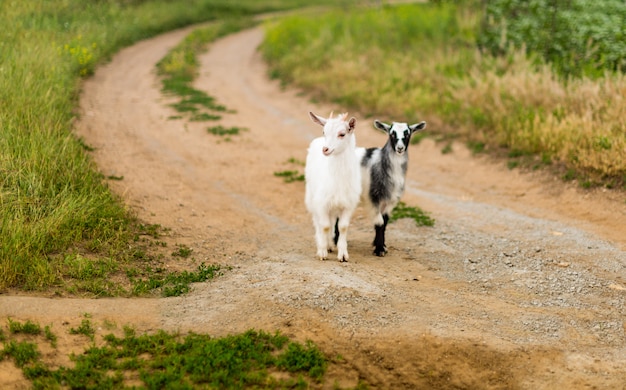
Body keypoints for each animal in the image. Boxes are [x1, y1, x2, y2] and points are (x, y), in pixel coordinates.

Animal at [304, 110, 358, 262]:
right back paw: (323, 244)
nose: (325, 149)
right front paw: (322, 252)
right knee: (318, 221)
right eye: (324, 131)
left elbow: (342, 227)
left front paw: (343, 254)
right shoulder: (322, 203)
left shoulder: (348, 205)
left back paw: (330, 245)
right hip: (311, 198)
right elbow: (325, 226)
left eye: (342, 134)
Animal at [356, 120, 424, 258]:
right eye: (392, 134)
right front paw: (379, 249)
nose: (400, 148)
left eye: (407, 134)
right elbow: (379, 222)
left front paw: (381, 245)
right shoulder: (373, 197)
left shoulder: (391, 199)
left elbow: (385, 221)